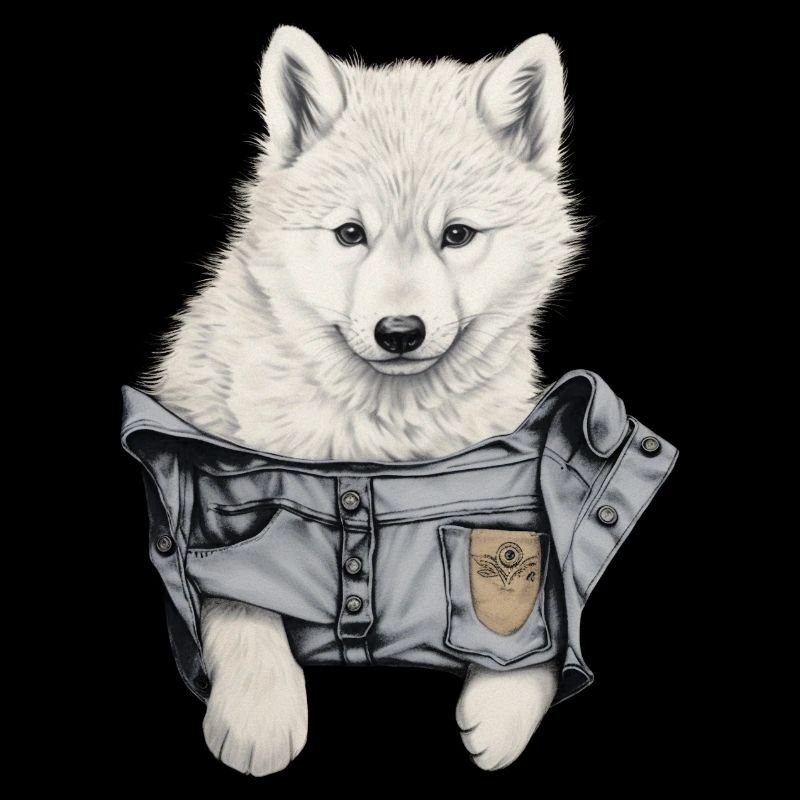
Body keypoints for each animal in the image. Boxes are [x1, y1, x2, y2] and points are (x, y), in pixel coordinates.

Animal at [146, 25, 579, 775]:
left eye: (457, 235)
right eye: (351, 233)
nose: (399, 332)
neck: (382, 438)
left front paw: (503, 702)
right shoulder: (224, 470)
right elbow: (235, 589)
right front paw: (259, 713)